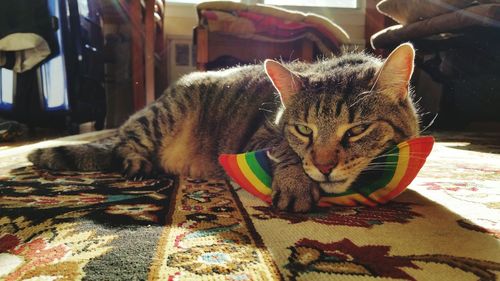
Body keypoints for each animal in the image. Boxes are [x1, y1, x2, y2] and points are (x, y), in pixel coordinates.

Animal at [29, 43, 420, 210]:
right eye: (304, 131)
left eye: (356, 131)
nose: (324, 167)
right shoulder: (261, 137)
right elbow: (286, 153)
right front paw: (296, 183)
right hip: (160, 117)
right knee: (123, 143)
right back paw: (137, 164)